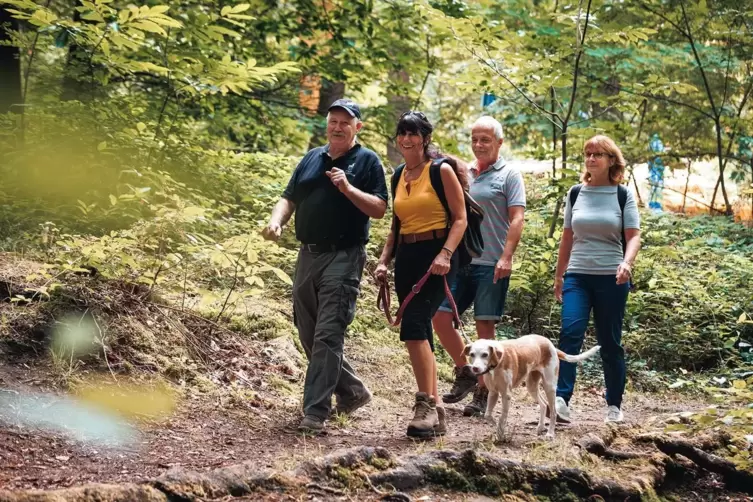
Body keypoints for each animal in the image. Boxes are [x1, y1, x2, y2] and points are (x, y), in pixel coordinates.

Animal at [462, 338, 596, 440]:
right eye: (472, 354)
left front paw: (501, 433)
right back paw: (540, 427)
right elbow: (488, 415)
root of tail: (550, 344)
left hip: (549, 386)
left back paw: (550, 434)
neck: (497, 362)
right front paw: (497, 427)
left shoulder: (506, 395)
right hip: (531, 385)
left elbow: (503, 417)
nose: (475, 368)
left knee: (553, 411)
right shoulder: (493, 393)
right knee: (543, 404)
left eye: (485, 354)